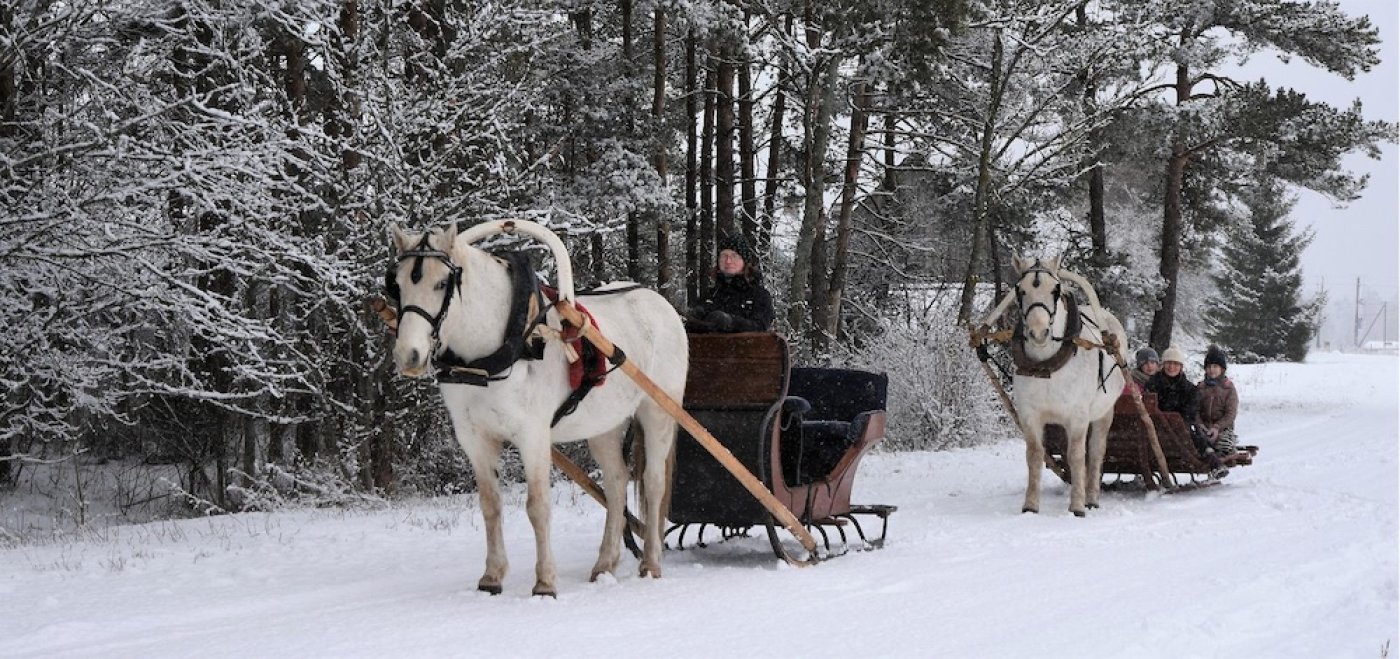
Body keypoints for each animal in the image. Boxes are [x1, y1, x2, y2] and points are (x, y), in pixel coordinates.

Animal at [392, 222, 686, 598]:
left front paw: (545, 582)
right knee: (617, 482)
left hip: (658, 411)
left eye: (442, 283)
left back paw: (650, 563)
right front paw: (492, 577)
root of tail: (660, 303)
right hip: (604, 424)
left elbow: (537, 506)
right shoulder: (475, 439)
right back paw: (604, 563)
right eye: (396, 284)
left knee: (653, 482)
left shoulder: (532, 435)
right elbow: (491, 505)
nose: (409, 355)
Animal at [1008, 256, 1125, 517]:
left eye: (1056, 289)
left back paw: (1092, 498)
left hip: (1104, 412)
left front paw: (1078, 506)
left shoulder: (1078, 415)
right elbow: (1035, 455)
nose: (1039, 332)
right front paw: (1030, 505)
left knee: (1095, 453)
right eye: (1020, 290)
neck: (1045, 367)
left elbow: (1077, 456)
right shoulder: (1029, 414)